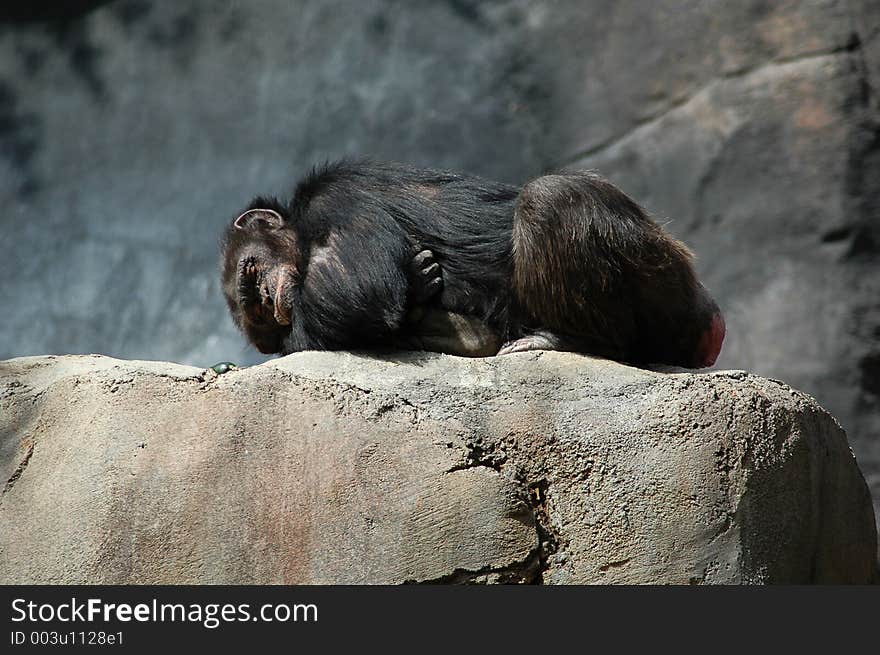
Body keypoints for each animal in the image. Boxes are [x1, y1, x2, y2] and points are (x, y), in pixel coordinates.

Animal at [218, 157, 720, 366]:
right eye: (257, 314)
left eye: (251, 274)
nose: (268, 300)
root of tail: (708, 320)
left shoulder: (336, 199)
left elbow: (358, 286)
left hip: (664, 281)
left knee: (551, 198)